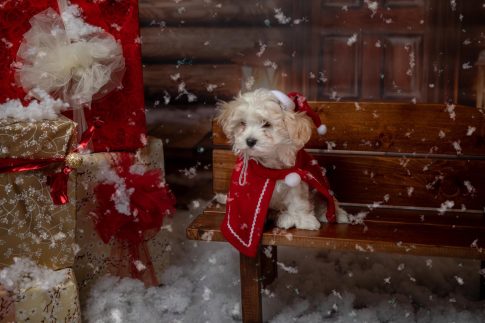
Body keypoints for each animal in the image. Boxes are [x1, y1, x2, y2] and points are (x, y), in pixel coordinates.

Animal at [216, 88, 348, 230]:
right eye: (242, 123)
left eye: (267, 124)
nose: (250, 141)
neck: (270, 164)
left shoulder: (297, 182)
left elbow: (299, 202)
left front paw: (305, 220)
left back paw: (336, 214)